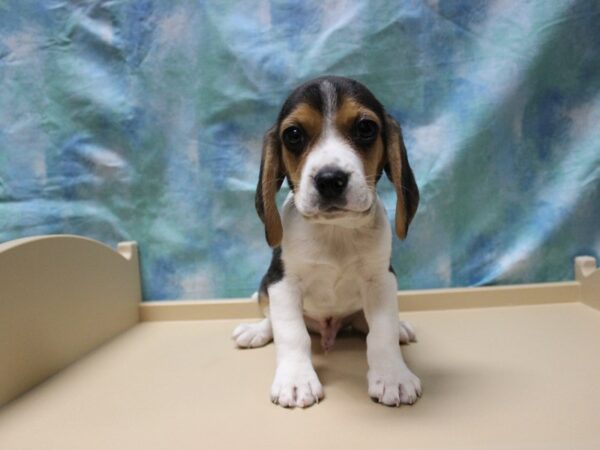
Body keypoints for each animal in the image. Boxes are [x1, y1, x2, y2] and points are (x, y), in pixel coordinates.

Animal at [232, 74, 420, 408]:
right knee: (272, 319)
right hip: (265, 287)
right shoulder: (282, 284)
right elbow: (292, 333)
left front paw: (392, 375)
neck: (336, 231)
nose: (330, 180)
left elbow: (381, 332)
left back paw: (399, 328)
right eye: (293, 134)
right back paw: (256, 331)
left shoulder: (381, 280)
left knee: (366, 324)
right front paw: (296, 379)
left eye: (366, 127)